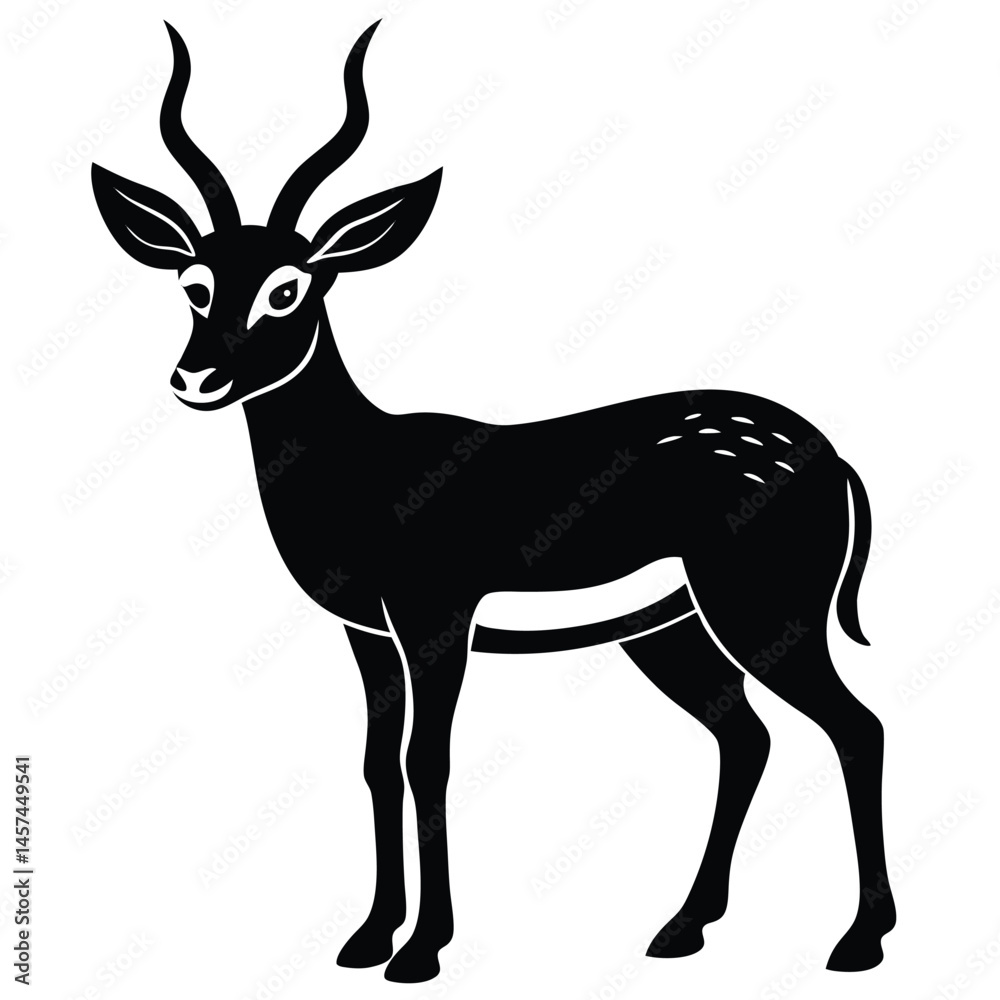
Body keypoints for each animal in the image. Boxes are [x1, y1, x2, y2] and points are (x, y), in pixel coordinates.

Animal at [91, 20, 896, 984]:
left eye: (289, 286)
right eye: (195, 284)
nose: (198, 377)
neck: (365, 462)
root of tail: (833, 455)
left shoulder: (435, 618)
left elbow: (426, 761)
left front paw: (421, 951)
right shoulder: (369, 634)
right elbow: (376, 763)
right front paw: (367, 938)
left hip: (762, 615)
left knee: (857, 727)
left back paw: (858, 942)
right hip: (669, 631)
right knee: (746, 740)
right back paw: (681, 928)